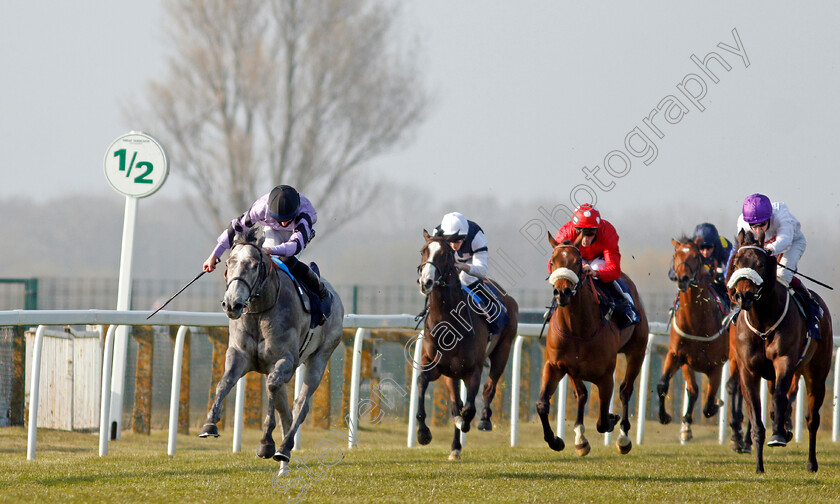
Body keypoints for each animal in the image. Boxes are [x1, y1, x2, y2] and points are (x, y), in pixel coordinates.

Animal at [199, 228, 342, 476]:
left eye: (254, 265)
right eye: (228, 262)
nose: (232, 304)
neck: (259, 312)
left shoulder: (286, 361)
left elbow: (274, 390)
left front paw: (266, 444)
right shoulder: (238, 356)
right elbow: (224, 383)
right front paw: (210, 424)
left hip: (320, 357)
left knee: (300, 405)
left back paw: (283, 448)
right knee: (286, 410)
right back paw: (284, 461)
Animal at [414, 230, 520, 458]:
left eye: (445, 254)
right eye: (423, 250)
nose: (426, 282)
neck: (448, 323)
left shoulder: (473, 370)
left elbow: (470, 407)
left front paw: (467, 421)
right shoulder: (435, 366)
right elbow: (421, 383)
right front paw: (423, 433)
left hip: (503, 350)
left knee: (489, 387)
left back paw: (484, 420)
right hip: (451, 373)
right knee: (457, 402)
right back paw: (455, 446)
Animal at [540, 236, 648, 456]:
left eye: (578, 262)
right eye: (553, 261)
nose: (562, 292)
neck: (577, 329)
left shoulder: (605, 376)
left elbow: (602, 421)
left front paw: (614, 419)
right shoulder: (554, 366)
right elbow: (542, 405)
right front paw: (555, 441)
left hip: (637, 351)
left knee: (625, 390)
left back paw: (623, 438)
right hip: (573, 370)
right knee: (581, 394)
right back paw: (580, 439)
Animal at [656, 236, 728, 440]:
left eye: (695, 256)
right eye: (676, 255)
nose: (682, 279)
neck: (697, 322)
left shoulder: (717, 365)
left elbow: (709, 403)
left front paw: (717, 405)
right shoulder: (677, 355)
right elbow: (663, 384)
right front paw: (665, 416)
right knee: (693, 390)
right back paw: (686, 425)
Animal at [724, 228, 832, 472]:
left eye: (761, 264)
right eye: (736, 263)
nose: (743, 296)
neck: (763, 322)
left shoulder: (784, 361)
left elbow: (780, 397)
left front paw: (778, 435)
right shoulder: (748, 370)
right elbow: (756, 413)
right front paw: (758, 465)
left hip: (817, 374)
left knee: (812, 419)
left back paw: (811, 462)